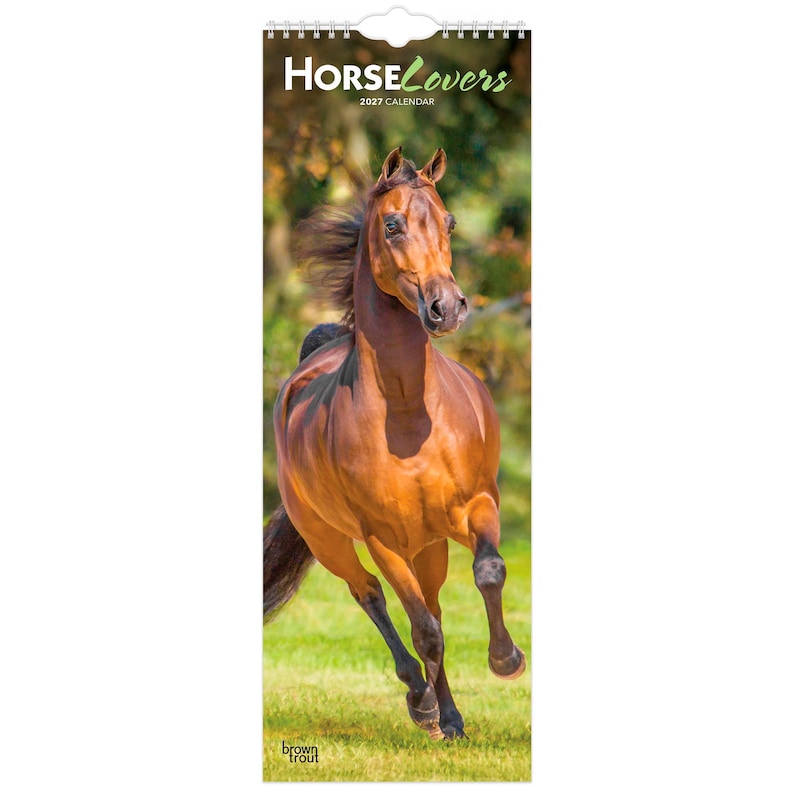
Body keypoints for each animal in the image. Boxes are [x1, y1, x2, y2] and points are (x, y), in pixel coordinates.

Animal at [264, 147, 526, 741]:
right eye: (392, 225)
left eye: (450, 222)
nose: (446, 307)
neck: (409, 417)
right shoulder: (380, 537)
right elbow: (422, 629)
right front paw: (429, 708)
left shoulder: (478, 504)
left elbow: (489, 572)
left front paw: (505, 661)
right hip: (331, 541)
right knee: (373, 597)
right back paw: (423, 704)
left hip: (426, 546)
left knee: (430, 607)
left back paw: (450, 717)